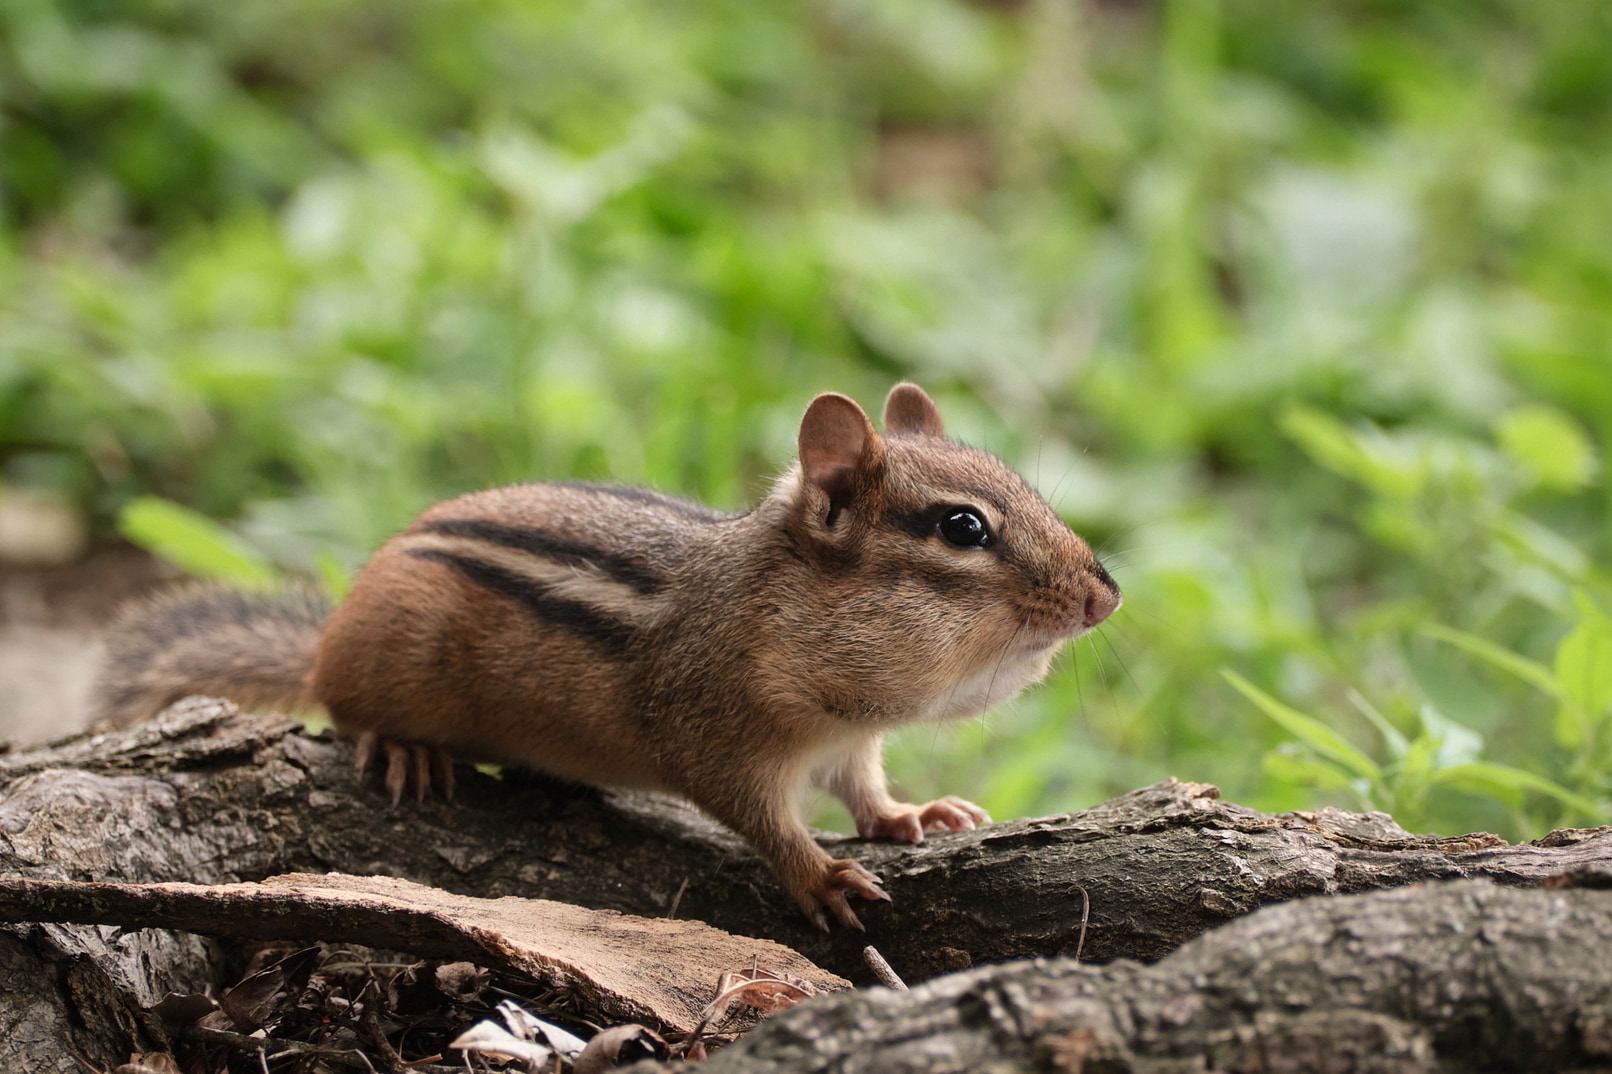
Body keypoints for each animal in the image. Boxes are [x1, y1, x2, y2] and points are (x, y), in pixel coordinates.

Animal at [94, 383, 1121, 929]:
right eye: (963, 527)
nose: (1106, 595)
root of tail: (329, 634)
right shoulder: (711, 728)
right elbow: (760, 817)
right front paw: (819, 876)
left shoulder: (850, 742)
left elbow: (863, 790)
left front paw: (915, 814)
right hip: (382, 659)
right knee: (342, 703)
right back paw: (402, 746)